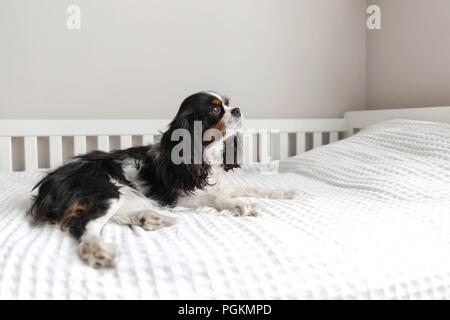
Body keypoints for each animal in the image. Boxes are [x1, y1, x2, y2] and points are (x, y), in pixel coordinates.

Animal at [29, 91, 296, 268]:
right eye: (214, 110)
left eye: (228, 104)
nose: (238, 109)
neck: (204, 155)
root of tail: (49, 185)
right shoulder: (178, 198)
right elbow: (215, 197)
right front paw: (241, 205)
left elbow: (250, 187)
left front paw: (283, 193)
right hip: (105, 189)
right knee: (86, 223)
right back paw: (98, 250)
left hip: (124, 192)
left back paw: (148, 218)